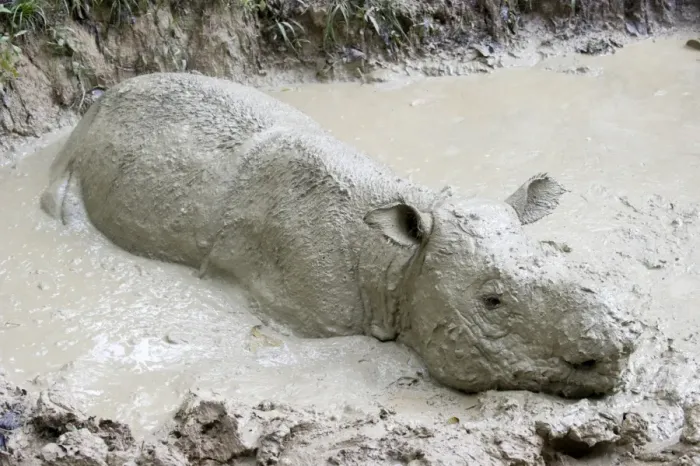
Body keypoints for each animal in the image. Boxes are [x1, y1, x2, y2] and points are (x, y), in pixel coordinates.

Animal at [40, 72, 639, 398]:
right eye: (492, 302)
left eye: (556, 256)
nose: (615, 353)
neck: (400, 261)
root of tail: (99, 101)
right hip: (79, 153)